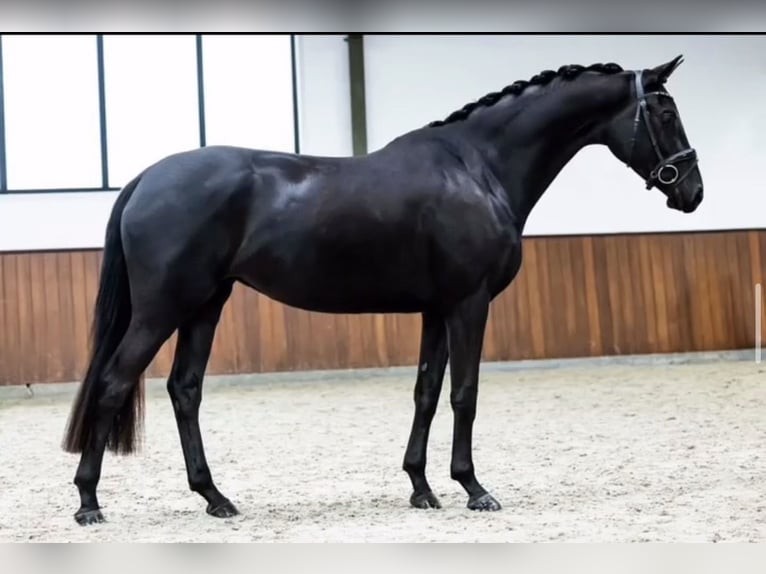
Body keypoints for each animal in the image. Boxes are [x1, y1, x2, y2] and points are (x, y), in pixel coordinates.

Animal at [62, 55, 703, 525]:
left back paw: (215, 498)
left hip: (205, 305)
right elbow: (465, 394)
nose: (691, 191)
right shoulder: (469, 304)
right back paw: (89, 502)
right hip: (163, 308)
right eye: (666, 111)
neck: (478, 167)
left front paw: (422, 487)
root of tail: (146, 178)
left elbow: (426, 393)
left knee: (185, 390)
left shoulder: (436, 310)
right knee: (115, 383)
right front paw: (474, 488)